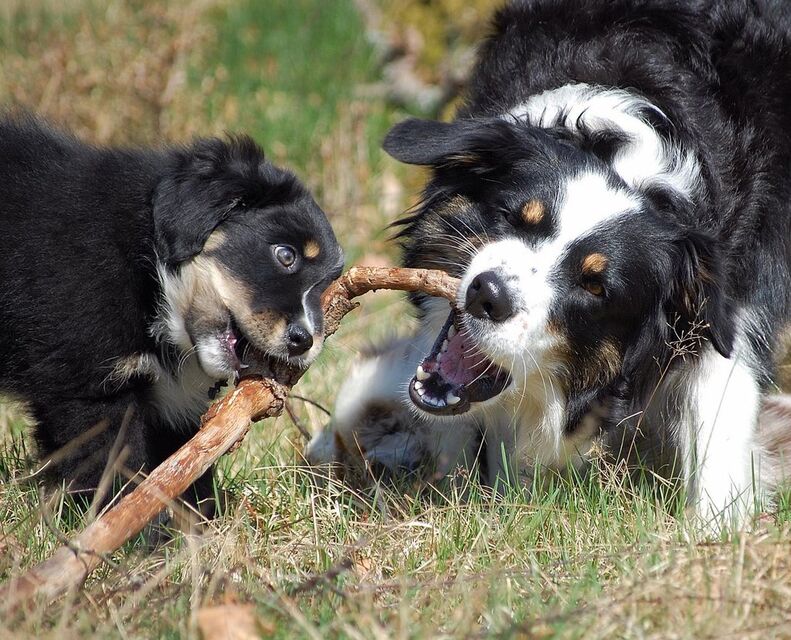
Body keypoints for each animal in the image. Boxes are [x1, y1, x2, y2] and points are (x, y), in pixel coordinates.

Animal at [0, 114, 344, 514]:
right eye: (286, 255)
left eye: (327, 285)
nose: (304, 341)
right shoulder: (92, 390)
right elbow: (116, 472)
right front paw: (129, 527)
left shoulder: (172, 406)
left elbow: (184, 471)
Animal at [307, 0, 791, 530]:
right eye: (515, 217)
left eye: (595, 286)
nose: (487, 295)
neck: (629, 162)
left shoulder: (736, 292)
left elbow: (721, 401)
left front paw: (714, 530)